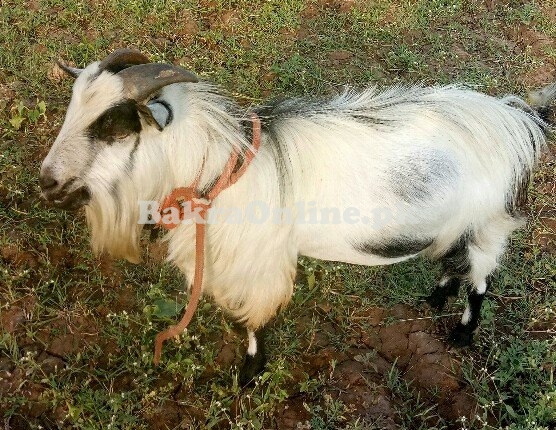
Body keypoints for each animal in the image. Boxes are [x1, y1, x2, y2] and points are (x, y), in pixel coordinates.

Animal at [41, 49, 552, 382]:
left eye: (113, 123)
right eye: (72, 108)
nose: (48, 181)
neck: (219, 168)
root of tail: (517, 119)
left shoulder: (258, 266)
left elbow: (253, 322)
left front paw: (249, 374)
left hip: (489, 223)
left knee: (481, 279)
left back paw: (462, 334)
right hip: (457, 224)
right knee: (453, 260)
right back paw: (434, 299)